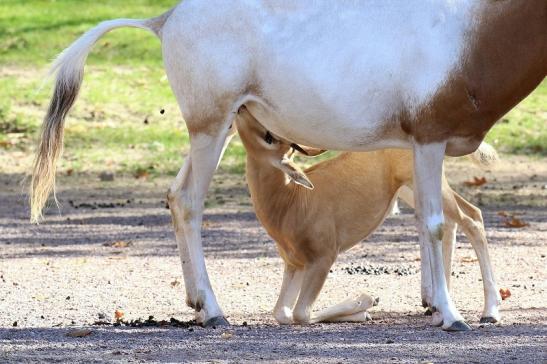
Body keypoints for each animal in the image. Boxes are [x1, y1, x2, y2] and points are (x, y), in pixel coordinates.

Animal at [235, 109, 500, 328]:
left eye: (269, 137)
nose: (241, 109)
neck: (292, 200)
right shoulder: (295, 265)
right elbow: (282, 312)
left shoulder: (322, 259)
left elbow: (301, 313)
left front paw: (365, 301)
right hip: (411, 189)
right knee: (445, 220)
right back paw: (436, 307)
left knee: (471, 217)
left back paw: (488, 312)